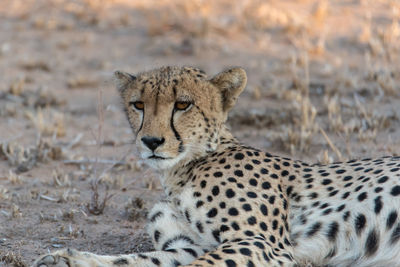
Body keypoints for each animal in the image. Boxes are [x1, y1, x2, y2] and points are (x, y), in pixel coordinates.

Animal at [34, 67, 400, 267]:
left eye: (182, 105)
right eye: (138, 105)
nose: (151, 141)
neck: (182, 171)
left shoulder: (262, 245)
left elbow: (198, 266)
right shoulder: (190, 246)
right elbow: (141, 259)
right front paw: (65, 258)